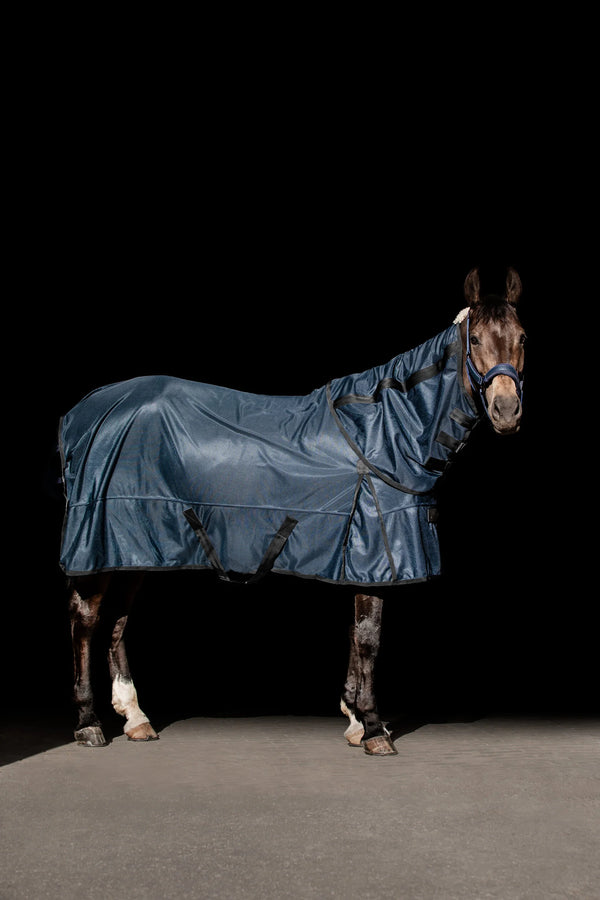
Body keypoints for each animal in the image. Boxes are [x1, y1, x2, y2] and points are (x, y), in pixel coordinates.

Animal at [63, 268, 526, 755]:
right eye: (475, 340)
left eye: (522, 337)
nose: (506, 410)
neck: (385, 431)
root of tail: (86, 410)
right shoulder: (374, 553)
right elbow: (368, 637)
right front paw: (373, 728)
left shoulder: (353, 559)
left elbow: (354, 634)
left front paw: (353, 718)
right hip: (103, 540)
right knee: (86, 619)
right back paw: (89, 723)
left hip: (134, 547)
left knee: (117, 619)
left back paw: (135, 718)